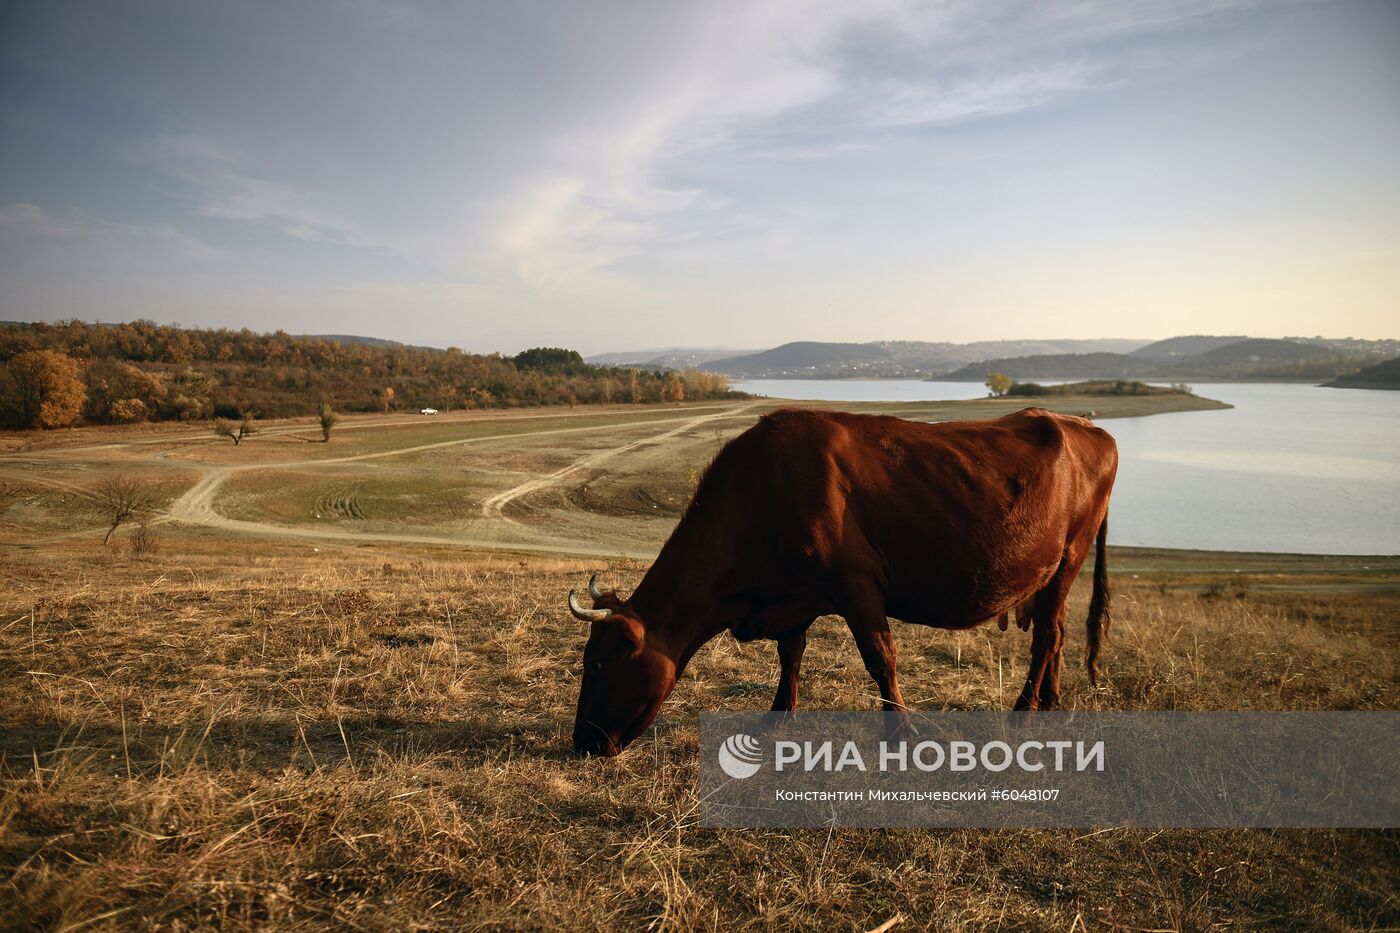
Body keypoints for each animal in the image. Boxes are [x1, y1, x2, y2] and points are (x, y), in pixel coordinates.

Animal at [568, 406, 1114, 756]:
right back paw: (1050, 700)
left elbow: (880, 658)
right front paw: (778, 715)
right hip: (1054, 571)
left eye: (598, 664)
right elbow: (790, 653)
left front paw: (902, 734)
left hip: (1069, 556)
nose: (581, 742)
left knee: (1046, 636)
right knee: (1056, 632)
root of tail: (1081, 424)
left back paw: (1024, 710)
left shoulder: (857, 585)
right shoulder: (793, 594)